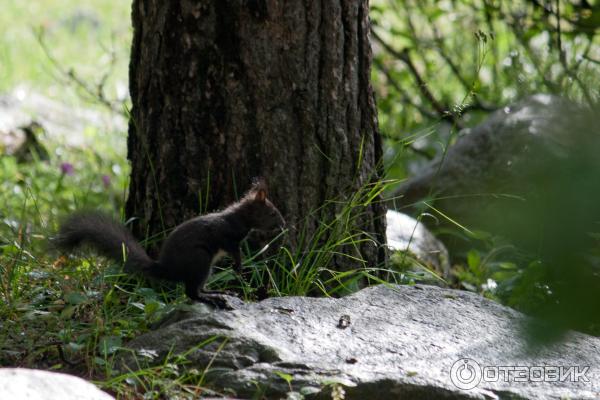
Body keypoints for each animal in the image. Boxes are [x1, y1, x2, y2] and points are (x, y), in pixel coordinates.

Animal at [56, 180, 284, 300]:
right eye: (272, 213)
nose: (283, 224)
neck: (239, 217)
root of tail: (166, 268)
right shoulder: (225, 235)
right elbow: (235, 250)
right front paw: (239, 266)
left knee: (196, 288)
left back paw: (215, 292)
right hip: (200, 259)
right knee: (191, 292)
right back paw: (210, 298)